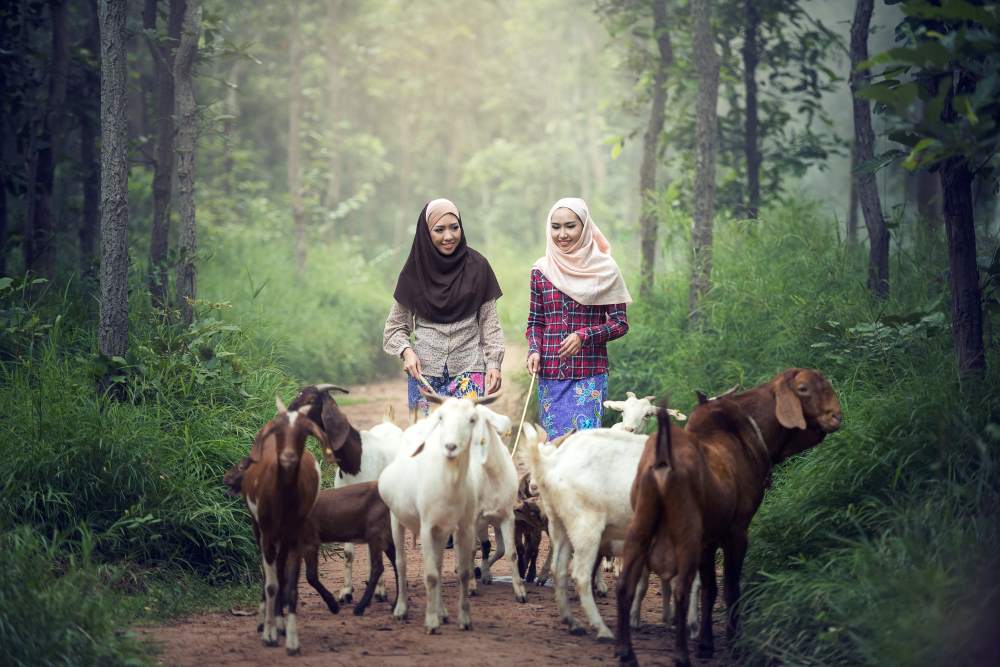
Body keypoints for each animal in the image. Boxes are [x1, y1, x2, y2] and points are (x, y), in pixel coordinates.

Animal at [376, 394, 500, 636]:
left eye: (472, 419)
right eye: (441, 417)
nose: (450, 446)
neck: (448, 482)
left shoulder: (463, 526)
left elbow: (461, 571)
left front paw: (464, 619)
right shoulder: (426, 526)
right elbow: (431, 574)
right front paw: (431, 622)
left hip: (442, 531)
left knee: (439, 564)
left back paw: (442, 612)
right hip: (397, 518)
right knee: (401, 562)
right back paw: (401, 609)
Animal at [612, 370, 840, 667]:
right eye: (804, 388)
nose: (836, 416)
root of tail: (663, 457)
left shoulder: (708, 540)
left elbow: (709, 589)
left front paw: (706, 643)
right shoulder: (737, 532)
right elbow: (731, 588)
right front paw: (733, 644)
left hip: (641, 526)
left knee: (626, 585)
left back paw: (626, 650)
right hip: (686, 533)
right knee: (681, 589)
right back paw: (680, 654)